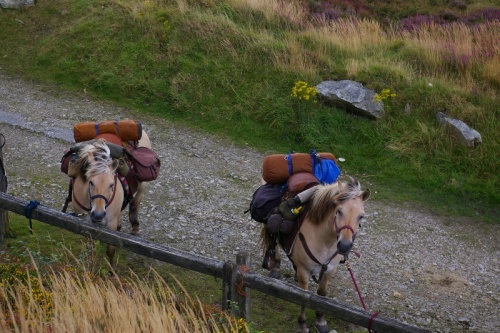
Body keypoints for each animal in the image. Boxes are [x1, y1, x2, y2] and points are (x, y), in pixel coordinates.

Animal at [70, 130, 151, 270]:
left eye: (111, 184)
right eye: (91, 182)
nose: (98, 215)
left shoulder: (110, 223)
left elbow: (110, 250)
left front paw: (112, 270)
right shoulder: (85, 223)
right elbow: (89, 248)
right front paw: (88, 268)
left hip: (142, 187)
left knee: (135, 203)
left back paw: (135, 228)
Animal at [260, 176, 370, 332]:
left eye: (361, 216)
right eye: (339, 211)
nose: (344, 246)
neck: (325, 241)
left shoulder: (328, 271)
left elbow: (321, 295)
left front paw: (321, 321)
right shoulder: (304, 271)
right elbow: (304, 297)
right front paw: (302, 324)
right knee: (274, 244)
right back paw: (275, 268)